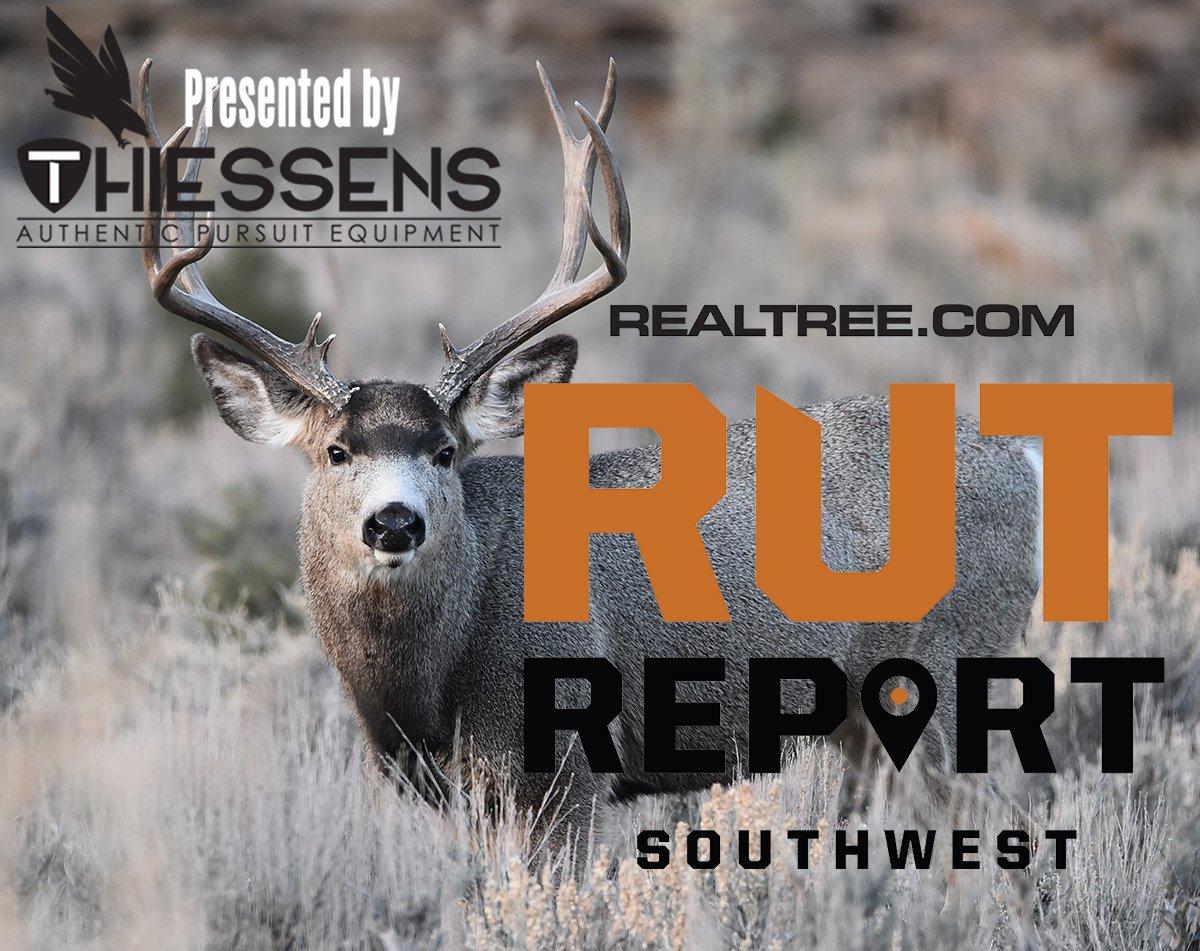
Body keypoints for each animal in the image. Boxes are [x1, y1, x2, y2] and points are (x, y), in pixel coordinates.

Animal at [135, 57, 1041, 854]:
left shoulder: (564, 767)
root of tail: (1024, 456)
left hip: (947, 666)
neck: (424, 686)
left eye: (445, 449)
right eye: (335, 449)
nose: (394, 522)